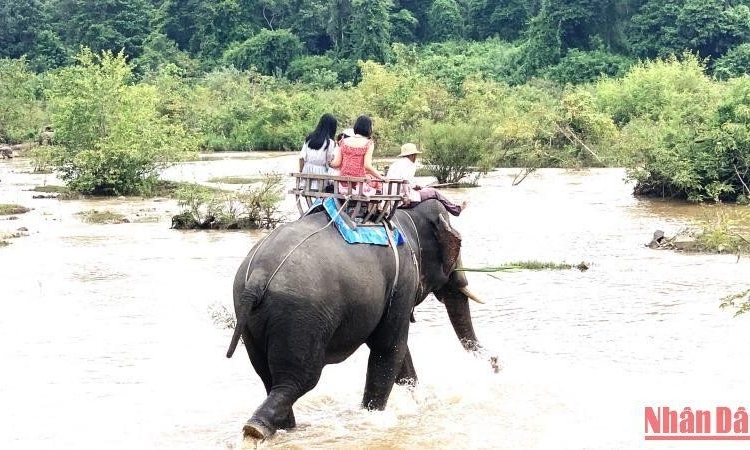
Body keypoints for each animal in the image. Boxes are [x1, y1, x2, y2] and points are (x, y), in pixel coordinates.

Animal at [226, 200, 490, 440]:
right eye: (457, 247)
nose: (495, 363)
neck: (406, 216)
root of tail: (258, 277)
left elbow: (398, 350)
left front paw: (420, 401)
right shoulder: (403, 278)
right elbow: (390, 347)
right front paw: (374, 414)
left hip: (251, 318)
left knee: (267, 376)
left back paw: (282, 430)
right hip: (301, 317)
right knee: (297, 381)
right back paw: (256, 429)